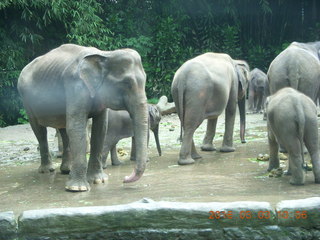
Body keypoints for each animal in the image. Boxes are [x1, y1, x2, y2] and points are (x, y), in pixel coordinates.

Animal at [16, 44, 148, 192]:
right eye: (126, 83)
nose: (124, 179)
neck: (105, 54)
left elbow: (101, 128)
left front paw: (99, 180)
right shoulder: (75, 86)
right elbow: (76, 126)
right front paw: (77, 188)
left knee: (64, 128)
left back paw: (66, 170)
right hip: (26, 100)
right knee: (39, 130)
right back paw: (47, 170)